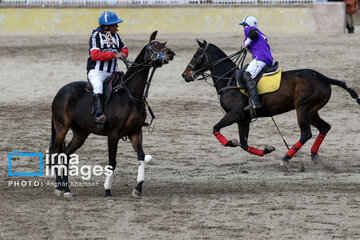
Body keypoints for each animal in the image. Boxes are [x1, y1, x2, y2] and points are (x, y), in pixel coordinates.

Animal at [49, 31, 176, 198]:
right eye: (154, 45)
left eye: (162, 44)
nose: (170, 53)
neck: (130, 94)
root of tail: (60, 92)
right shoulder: (113, 134)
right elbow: (112, 162)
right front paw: (107, 190)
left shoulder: (135, 132)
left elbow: (141, 156)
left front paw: (138, 188)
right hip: (62, 126)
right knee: (56, 152)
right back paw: (59, 187)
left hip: (81, 132)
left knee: (66, 153)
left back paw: (66, 188)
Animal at [183, 39, 360, 167]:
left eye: (196, 55)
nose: (185, 75)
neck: (230, 80)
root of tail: (324, 78)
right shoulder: (244, 119)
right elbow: (244, 144)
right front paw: (266, 150)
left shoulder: (235, 114)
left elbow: (216, 128)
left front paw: (230, 142)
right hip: (312, 111)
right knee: (325, 127)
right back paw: (313, 154)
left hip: (302, 108)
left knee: (306, 133)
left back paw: (286, 157)